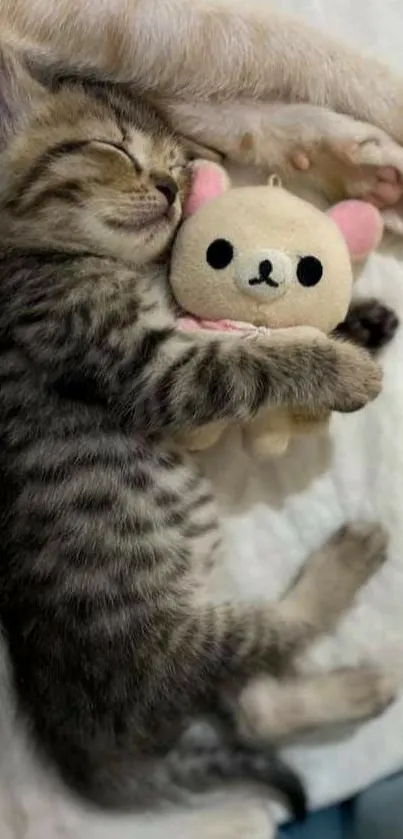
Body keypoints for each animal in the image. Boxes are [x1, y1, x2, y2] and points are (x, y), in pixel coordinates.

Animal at [0, 47, 394, 820]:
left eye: (179, 168)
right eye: (113, 149)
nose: (169, 187)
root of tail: (76, 739)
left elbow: (252, 334)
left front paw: (357, 322)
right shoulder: (148, 369)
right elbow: (247, 360)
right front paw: (341, 368)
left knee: (252, 708)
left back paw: (355, 686)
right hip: (168, 645)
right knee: (266, 643)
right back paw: (346, 570)